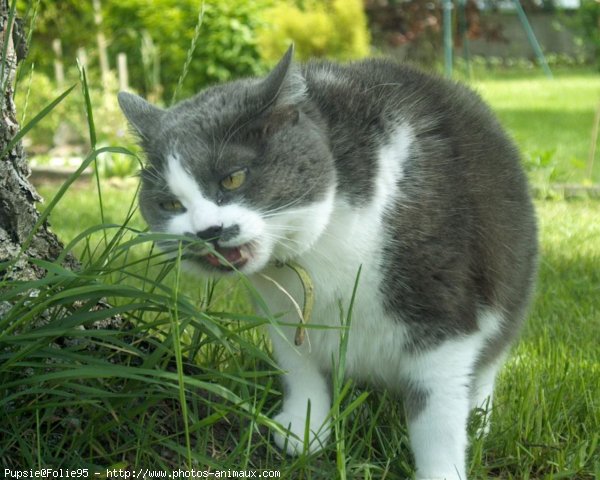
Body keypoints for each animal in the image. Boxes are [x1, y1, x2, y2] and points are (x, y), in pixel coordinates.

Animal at [116, 46, 536, 480]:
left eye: (233, 178)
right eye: (170, 204)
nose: (207, 231)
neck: (322, 245)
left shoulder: (440, 309)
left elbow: (436, 412)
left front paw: (441, 471)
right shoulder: (284, 310)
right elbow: (299, 368)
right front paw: (304, 430)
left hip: (508, 287)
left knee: (486, 364)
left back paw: (479, 419)